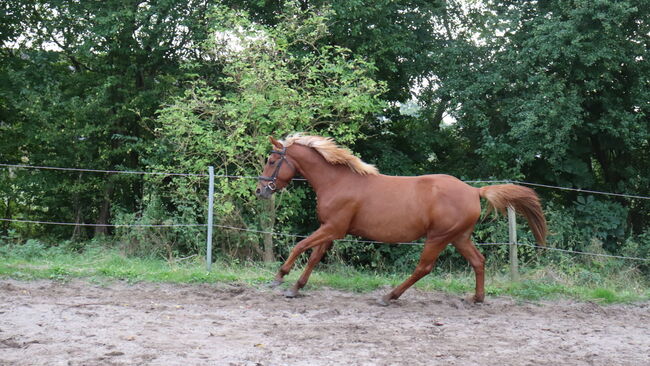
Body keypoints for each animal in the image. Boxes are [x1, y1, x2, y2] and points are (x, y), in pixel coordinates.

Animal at [256, 133, 544, 304]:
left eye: (271, 160)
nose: (260, 190)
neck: (338, 181)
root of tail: (474, 191)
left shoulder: (333, 228)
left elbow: (300, 246)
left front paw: (279, 277)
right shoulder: (331, 229)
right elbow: (314, 257)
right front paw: (296, 287)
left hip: (438, 237)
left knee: (424, 268)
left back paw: (389, 296)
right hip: (459, 237)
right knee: (478, 261)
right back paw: (477, 298)